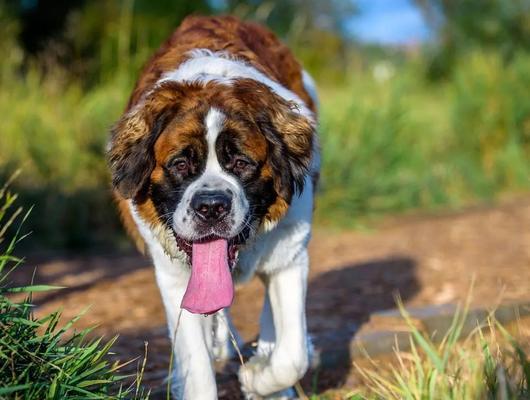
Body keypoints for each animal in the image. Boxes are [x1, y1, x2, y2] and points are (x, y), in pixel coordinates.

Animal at [107, 15, 318, 400]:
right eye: (180, 164)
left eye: (241, 163)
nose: (211, 207)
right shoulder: (175, 280)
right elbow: (198, 367)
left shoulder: (290, 256)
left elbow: (293, 356)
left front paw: (258, 377)